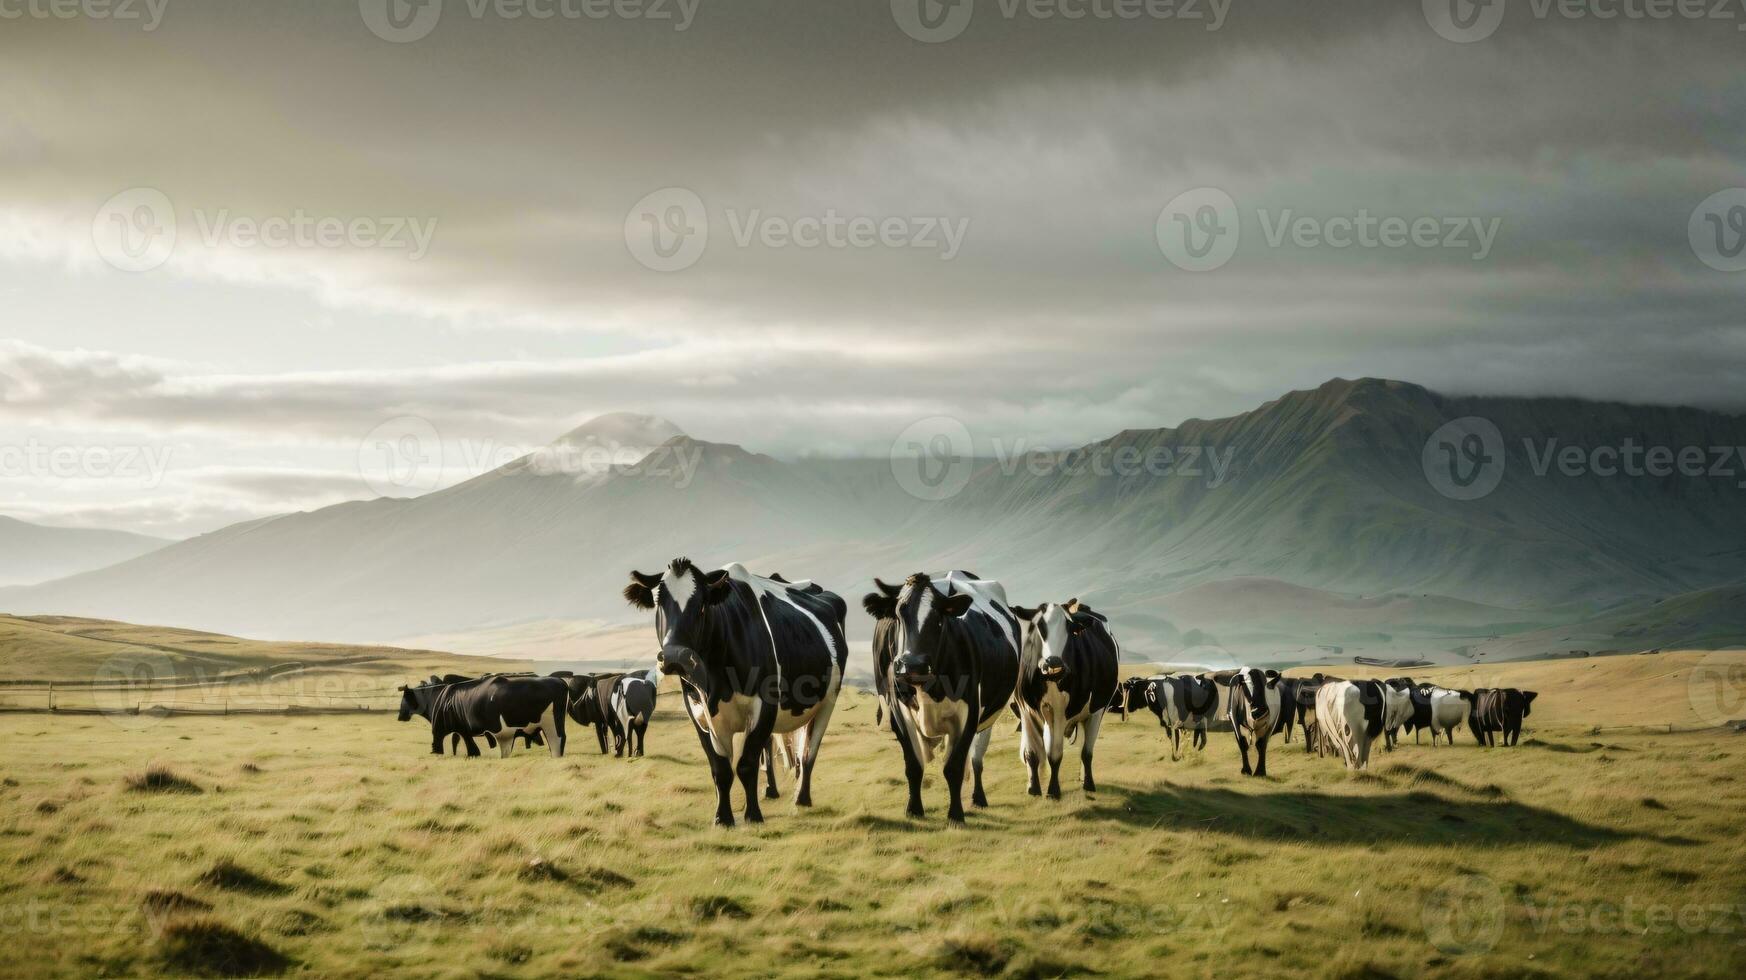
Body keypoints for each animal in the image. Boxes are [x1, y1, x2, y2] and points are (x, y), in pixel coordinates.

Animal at [396, 670, 565, 758]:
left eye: (404, 699)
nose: (400, 717)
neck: (440, 696)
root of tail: (558, 681)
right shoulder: (463, 729)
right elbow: (466, 743)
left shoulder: (439, 729)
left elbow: (438, 745)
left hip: (551, 726)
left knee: (557, 741)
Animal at [625, 559, 848, 824]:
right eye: (659, 604)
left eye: (702, 606)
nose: (675, 657)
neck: (715, 683)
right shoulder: (698, 714)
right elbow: (720, 768)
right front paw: (723, 818)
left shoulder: (764, 706)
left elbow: (746, 764)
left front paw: (753, 816)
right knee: (773, 749)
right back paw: (771, 790)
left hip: (827, 702)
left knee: (808, 752)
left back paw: (801, 798)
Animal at [862, 569, 1019, 821]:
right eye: (898, 614)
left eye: (938, 617)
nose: (912, 664)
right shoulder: (898, 713)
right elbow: (914, 765)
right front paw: (914, 809)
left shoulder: (969, 713)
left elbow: (954, 767)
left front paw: (956, 814)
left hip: (989, 716)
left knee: (976, 759)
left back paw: (978, 798)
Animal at [1012, 600, 1117, 800]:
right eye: (1039, 627)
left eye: (1069, 628)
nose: (1054, 663)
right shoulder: (1025, 709)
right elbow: (1031, 754)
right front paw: (1033, 788)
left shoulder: (1061, 713)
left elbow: (1055, 755)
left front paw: (1053, 791)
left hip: (1097, 710)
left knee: (1087, 751)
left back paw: (1088, 782)